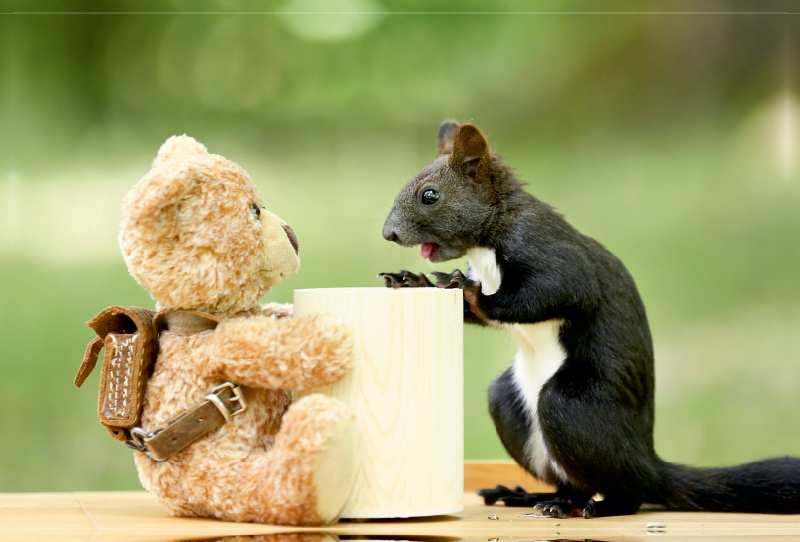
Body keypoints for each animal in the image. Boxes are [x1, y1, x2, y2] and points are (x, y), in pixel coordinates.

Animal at [380, 121, 800, 520]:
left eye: (430, 195)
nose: (389, 233)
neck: (489, 241)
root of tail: (649, 461)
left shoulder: (548, 252)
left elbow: (550, 293)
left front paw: (468, 290)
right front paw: (412, 281)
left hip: (572, 409)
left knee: (629, 489)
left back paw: (600, 505)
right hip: (510, 404)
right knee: (571, 481)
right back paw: (539, 498)